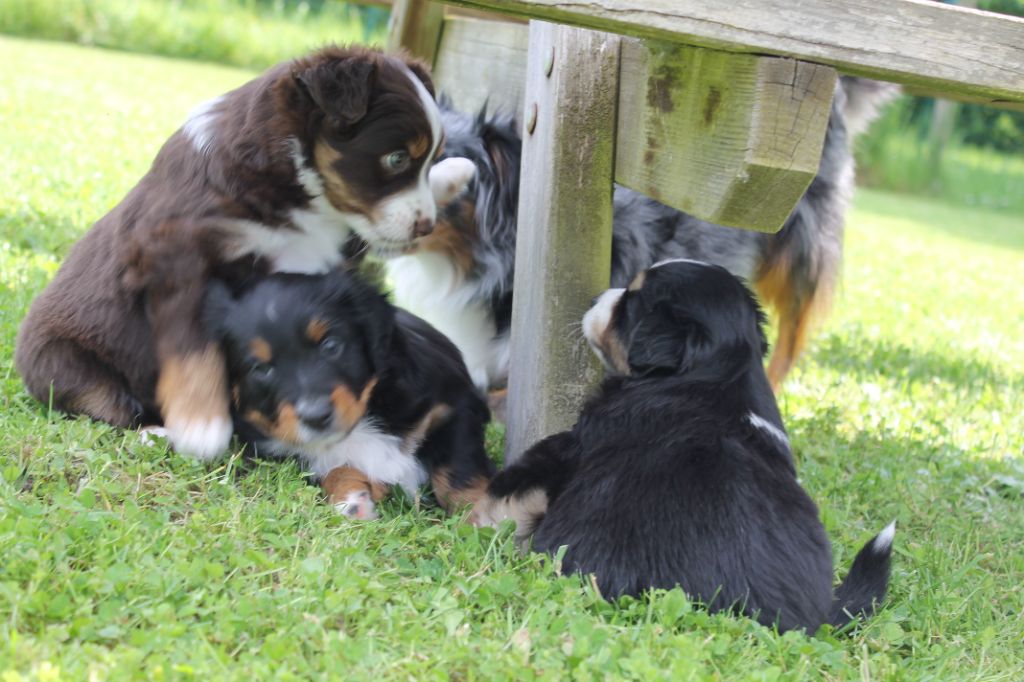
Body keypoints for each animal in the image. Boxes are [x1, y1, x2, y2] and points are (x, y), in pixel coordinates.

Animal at [203, 268, 495, 518]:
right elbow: (333, 468)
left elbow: (457, 471)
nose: (316, 416)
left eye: (331, 345)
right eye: (261, 369)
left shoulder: (455, 405)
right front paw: (351, 499)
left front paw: (481, 517)